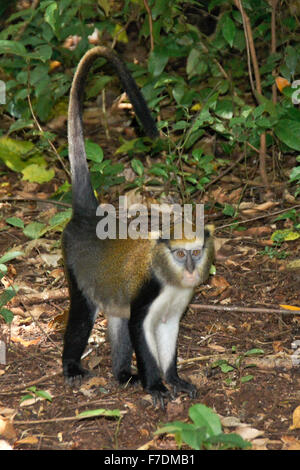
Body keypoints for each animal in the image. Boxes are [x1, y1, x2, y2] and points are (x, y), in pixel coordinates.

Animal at [62, 46, 214, 406]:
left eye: (196, 253)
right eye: (179, 255)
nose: (190, 270)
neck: (169, 277)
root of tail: (89, 216)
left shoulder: (177, 302)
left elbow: (167, 330)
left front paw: (174, 379)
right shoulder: (149, 291)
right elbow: (138, 329)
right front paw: (156, 385)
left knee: (116, 317)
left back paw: (122, 375)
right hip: (76, 270)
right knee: (83, 313)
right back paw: (72, 366)